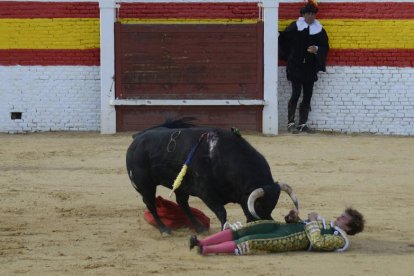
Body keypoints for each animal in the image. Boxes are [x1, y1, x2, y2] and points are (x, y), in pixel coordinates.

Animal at [126, 118, 298, 235]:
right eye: (260, 206)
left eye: (272, 206)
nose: (267, 226)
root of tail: (137, 139)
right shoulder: (206, 192)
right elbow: (222, 211)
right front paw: (225, 229)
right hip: (145, 184)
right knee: (151, 204)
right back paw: (165, 229)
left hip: (181, 186)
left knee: (182, 203)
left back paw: (199, 227)